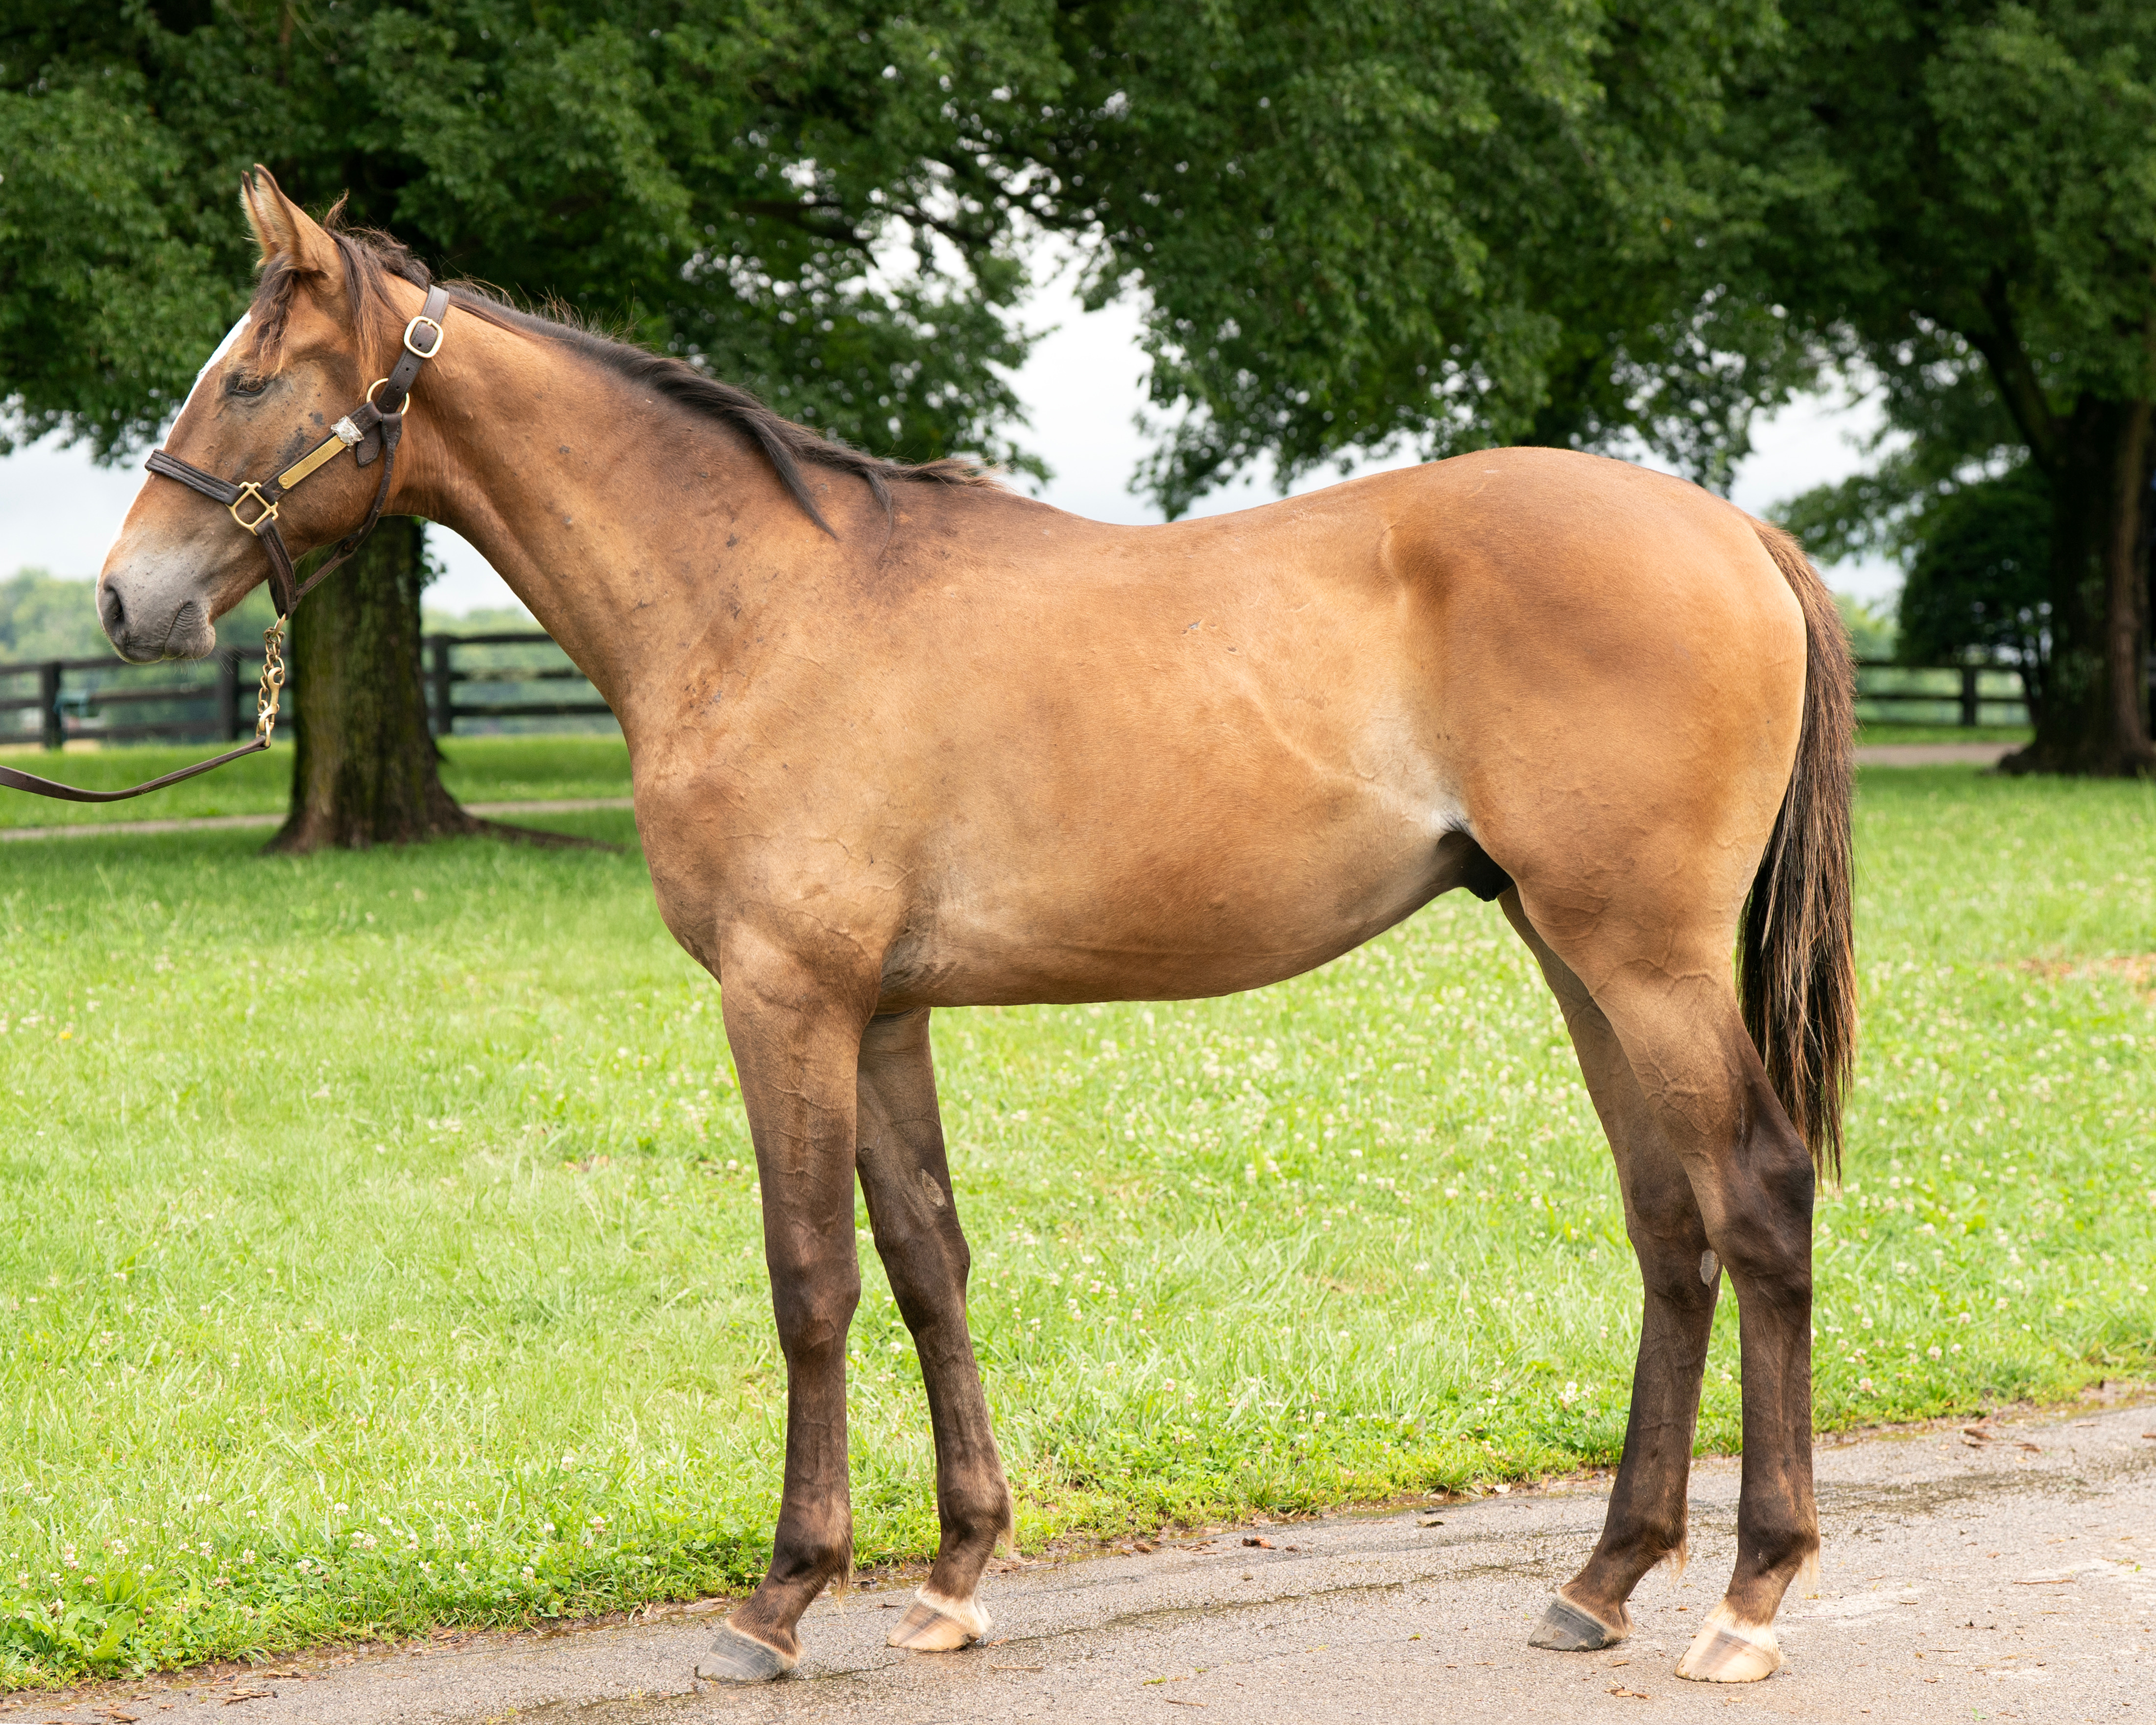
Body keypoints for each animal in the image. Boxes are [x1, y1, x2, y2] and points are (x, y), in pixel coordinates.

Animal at [98, 169, 1855, 1687]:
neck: (761, 606)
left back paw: (1750, 1597)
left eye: (247, 381)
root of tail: (1734, 534)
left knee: (1757, 1200)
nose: (126, 601)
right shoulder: (883, 1012)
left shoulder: (785, 998)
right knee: (1670, 1224)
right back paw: (1603, 1579)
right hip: (1576, 955)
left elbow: (809, 1278)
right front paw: (952, 1577)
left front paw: (781, 1599)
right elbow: (927, 1261)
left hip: (1644, 959)